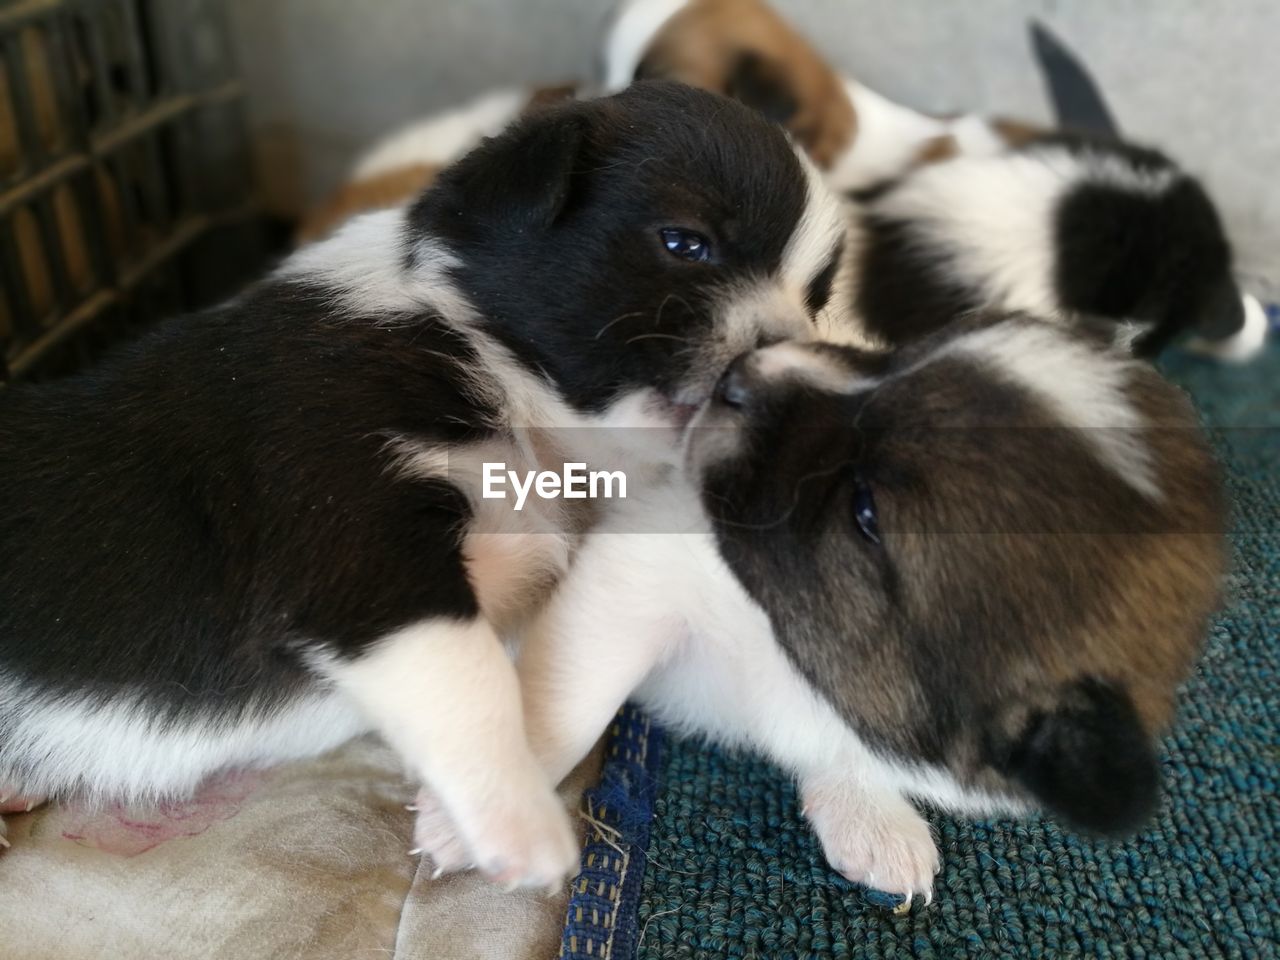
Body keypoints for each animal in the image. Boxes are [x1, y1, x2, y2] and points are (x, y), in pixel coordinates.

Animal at [0, 82, 849, 880]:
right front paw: (520, 827)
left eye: (816, 299)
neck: (490, 362)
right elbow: (469, 675)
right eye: (686, 243)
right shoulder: (356, 541)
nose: (784, 368)